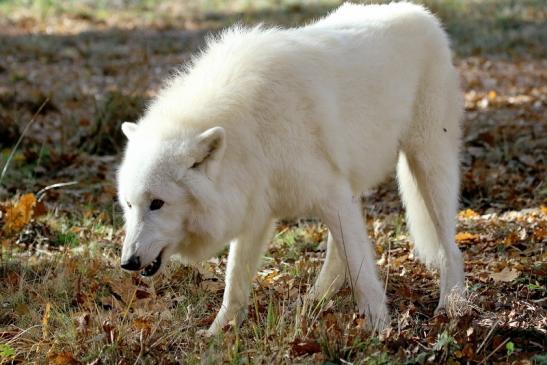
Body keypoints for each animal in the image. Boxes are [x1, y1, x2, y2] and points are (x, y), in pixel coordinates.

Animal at [117, 2, 464, 334]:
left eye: (158, 203)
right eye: (130, 205)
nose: (128, 262)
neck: (249, 130)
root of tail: (422, 14)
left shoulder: (329, 195)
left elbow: (361, 269)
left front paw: (380, 330)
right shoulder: (257, 209)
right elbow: (234, 284)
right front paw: (219, 332)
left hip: (427, 165)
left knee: (449, 248)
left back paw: (451, 306)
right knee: (338, 256)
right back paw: (314, 301)